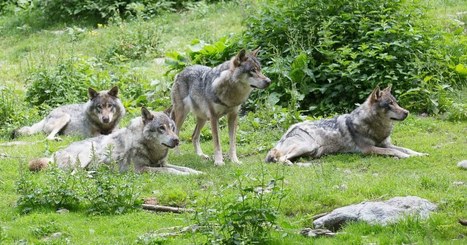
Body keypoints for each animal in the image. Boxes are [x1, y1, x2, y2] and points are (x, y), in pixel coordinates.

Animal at [27, 106, 203, 174]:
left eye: (172, 127)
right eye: (161, 128)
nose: (176, 140)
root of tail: (54, 155)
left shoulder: (162, 163)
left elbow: (185, 168)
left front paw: (198, 172)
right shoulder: (142, 169)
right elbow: (172, 171)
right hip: (86, 156)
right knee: (74, 174)